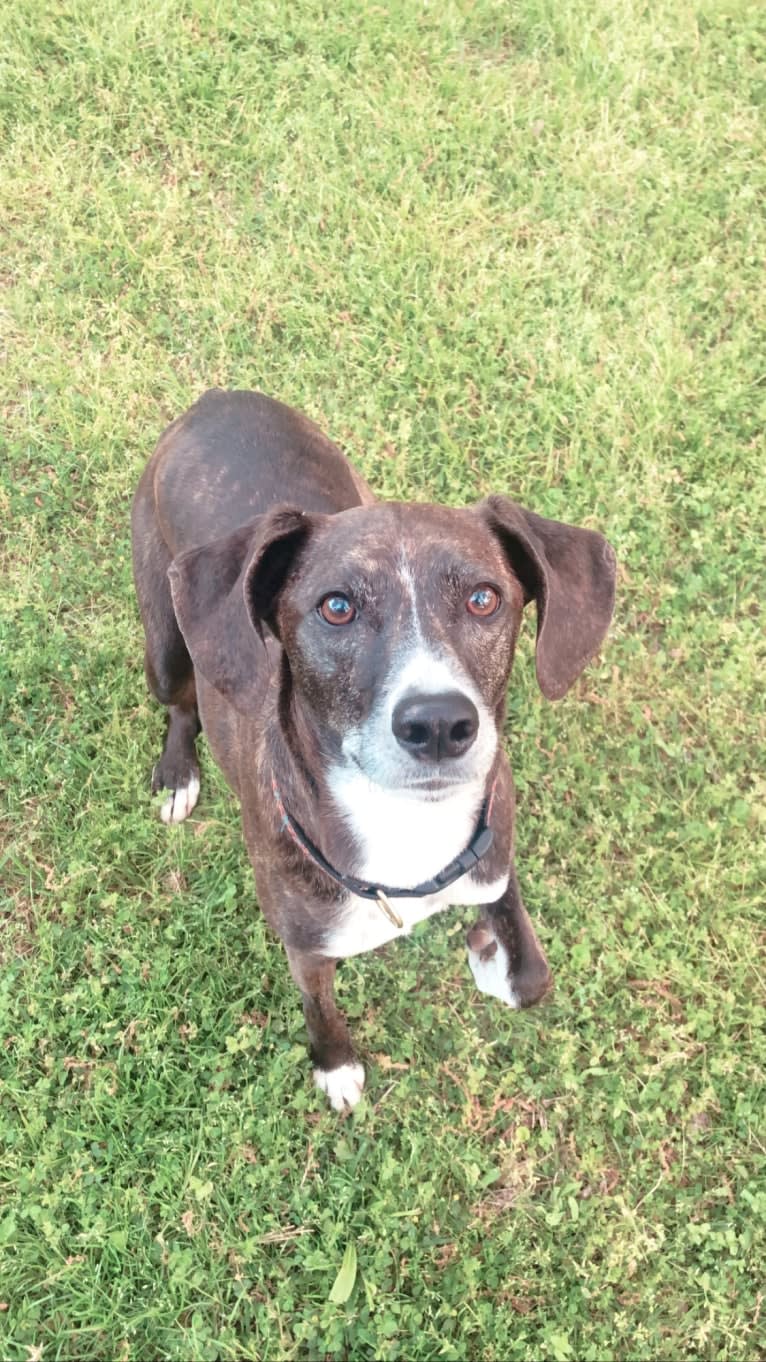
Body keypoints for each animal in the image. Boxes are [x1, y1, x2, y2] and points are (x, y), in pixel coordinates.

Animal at [128, 389, 610, 1111]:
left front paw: (488, 954)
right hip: (165, 639)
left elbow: (532, 976)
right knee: (182, 701)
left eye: (484, 598)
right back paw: (179, 772)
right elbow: (318, 1009)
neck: (404, 825)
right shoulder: (306, 947)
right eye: (336, 607)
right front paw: (336, 1065)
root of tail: (217, 399)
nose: (439, 724)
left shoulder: (494, 850)